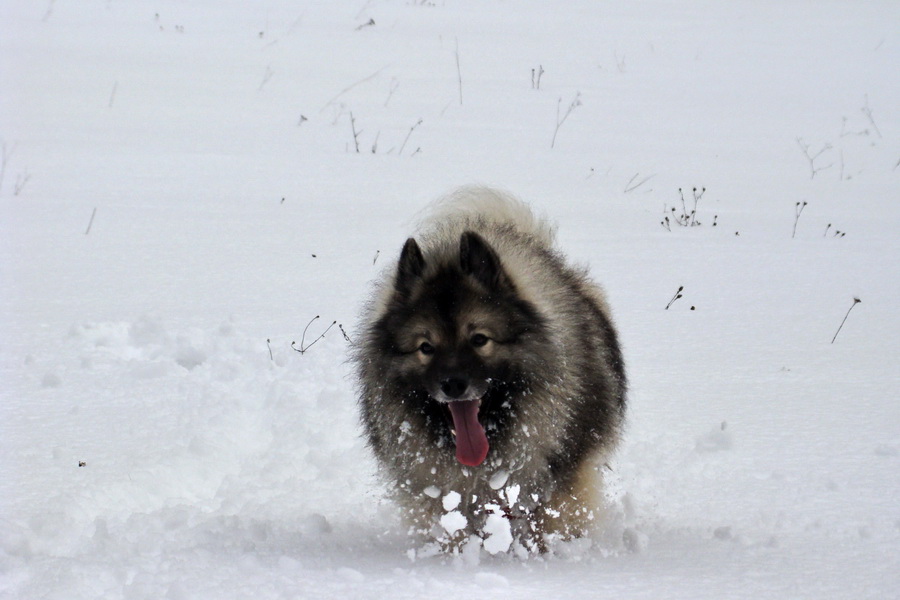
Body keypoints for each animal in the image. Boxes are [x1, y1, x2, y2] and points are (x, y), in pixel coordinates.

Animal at [352, 186, 624, 552]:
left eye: (480, 339)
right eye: (426, 347)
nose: (453, 385)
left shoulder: (559, 480)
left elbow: (548, 524)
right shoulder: (440, 495)